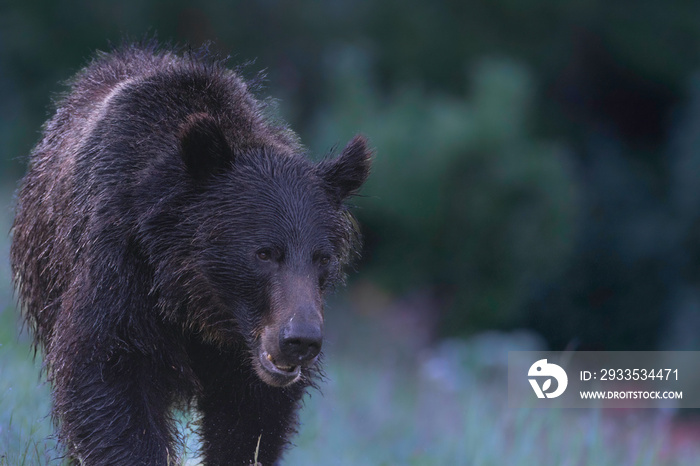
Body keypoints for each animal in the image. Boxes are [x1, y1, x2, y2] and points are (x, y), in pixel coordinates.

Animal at [9, 41, 372, 464]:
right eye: (264, 253)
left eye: (322, 257)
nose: (300, 340)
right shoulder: (120, 274)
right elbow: (107, 378)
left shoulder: (244, 357)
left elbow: (250, 422)